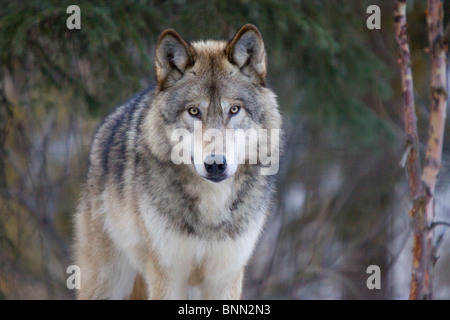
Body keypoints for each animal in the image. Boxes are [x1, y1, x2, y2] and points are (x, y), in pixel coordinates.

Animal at [75, 23, 284, 298]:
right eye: (194, 111)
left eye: (234, 110)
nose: (215, 164)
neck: (211, 208)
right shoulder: (167, 275)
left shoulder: (225, 276)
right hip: (108, 282)